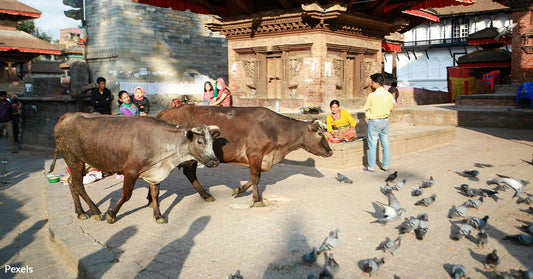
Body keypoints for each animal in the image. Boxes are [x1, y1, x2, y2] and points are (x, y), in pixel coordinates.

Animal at [47, 112, 218, 224]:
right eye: (199, 142)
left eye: (212, 142)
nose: (215, 161)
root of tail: (66, 116)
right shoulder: (130, 172)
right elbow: (126, 195)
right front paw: (112, 214)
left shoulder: (154, 173)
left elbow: (155, 195)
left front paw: (158, 215)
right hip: (73, 159)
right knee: (78, 185)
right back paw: (95, 211)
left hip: (86, 163)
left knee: (71, 182)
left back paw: (80, 212)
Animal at [155, 106, 332, 207]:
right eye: (321, 133)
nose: (330, 151)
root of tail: (165, 112)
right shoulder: (255, 153)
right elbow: (256, 177)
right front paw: (257, 200)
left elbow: (254, 178)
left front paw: (239, 190)